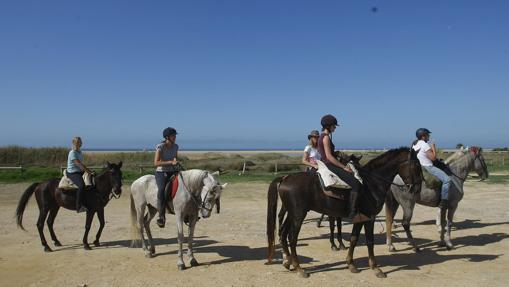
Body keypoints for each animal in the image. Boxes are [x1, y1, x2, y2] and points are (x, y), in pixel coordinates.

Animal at [266, 147, 420, 278]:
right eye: (417, 166)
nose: (416, 189)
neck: (371, 183)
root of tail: (285, 178)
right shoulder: (370, 218)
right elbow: (370, 241)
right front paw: (376, 268)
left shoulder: (360, 218)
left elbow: (353, 239)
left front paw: (351, 264)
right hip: (298, 216)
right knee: (292, 238)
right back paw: (299, 268)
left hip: (292, 215)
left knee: (283, 233)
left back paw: (287, 261)